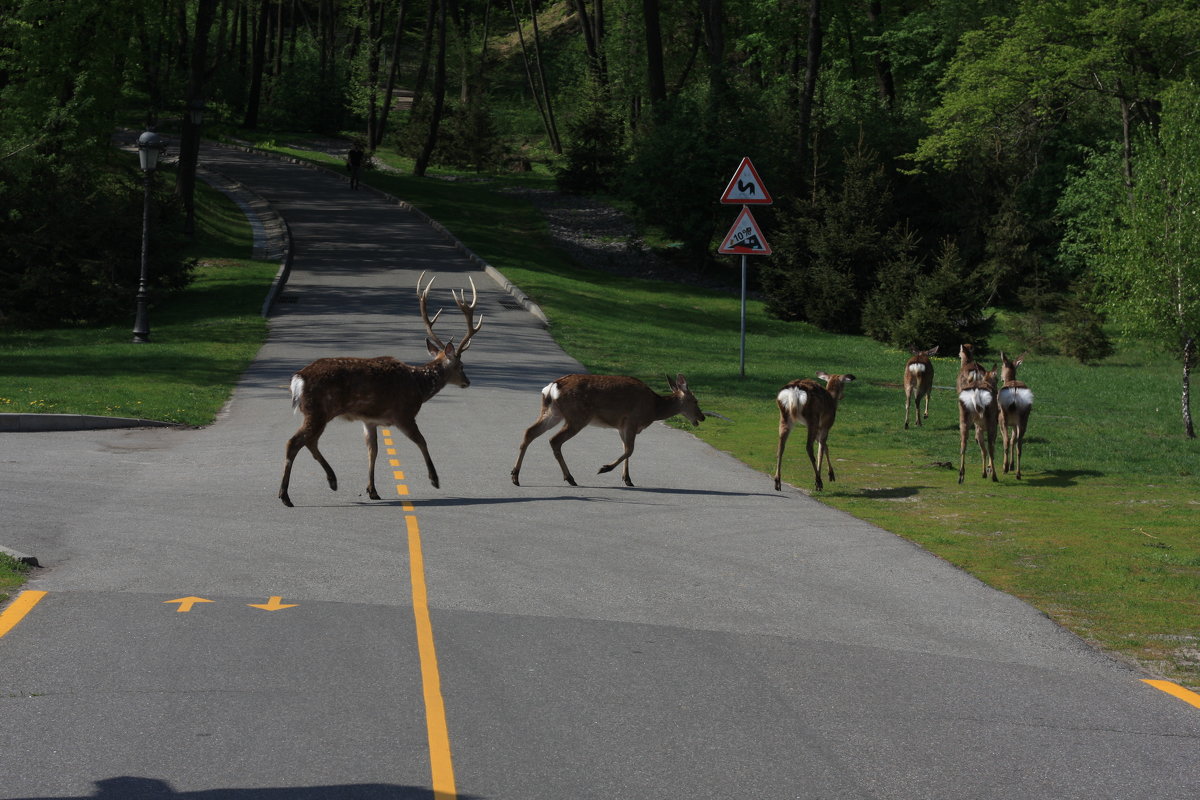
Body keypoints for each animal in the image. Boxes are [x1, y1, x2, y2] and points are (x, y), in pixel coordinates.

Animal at [279, 268, 482, 506]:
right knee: (294, 442)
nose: (467, 381)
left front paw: (372, 490)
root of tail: (298, 379)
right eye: (461, 366)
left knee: (310, 442)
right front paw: (434, 479)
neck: (419, 386)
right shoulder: (403, 414)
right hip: (318, 410)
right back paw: (285, 495)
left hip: (315, 412)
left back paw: (332, 480)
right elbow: (422, 441)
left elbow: (373, 450)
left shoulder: (370, 420)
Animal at [508, 374, 710, 489]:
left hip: (552, 411)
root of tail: (552, 387)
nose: (702, 417)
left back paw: (515, 476)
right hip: (578, 416)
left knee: (529, 432)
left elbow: (626, 450)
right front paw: (604, 468)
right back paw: (570, 478)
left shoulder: (622, 426)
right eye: (695, 401)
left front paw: (627, 479)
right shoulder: (632, 420)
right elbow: (630, 450)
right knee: (554, 440)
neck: (653, 408)